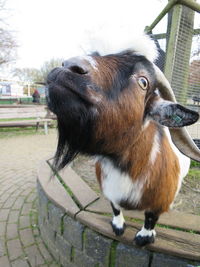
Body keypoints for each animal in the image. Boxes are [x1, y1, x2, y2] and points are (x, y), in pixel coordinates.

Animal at [47, 34, 200, 247]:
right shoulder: (109, 190)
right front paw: (118, 226)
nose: (69, 66)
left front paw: (144, 237)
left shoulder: (160, 202)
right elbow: (115, 207)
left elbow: (151, 218)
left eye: (143, 82)